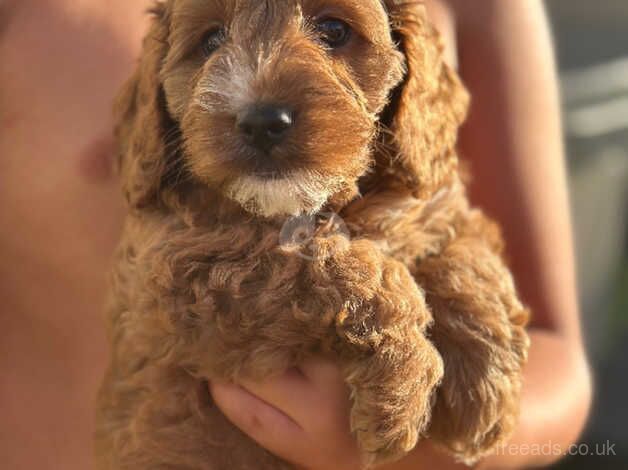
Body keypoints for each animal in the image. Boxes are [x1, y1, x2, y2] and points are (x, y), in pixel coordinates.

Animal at [95, 0, 528, 466]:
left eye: (334, 30)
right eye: (211, 41)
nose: (262, 121)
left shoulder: (433, 200)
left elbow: (467, 251)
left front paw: (485, 387)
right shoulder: (174, 268)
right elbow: (338, 266)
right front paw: (402, 379)